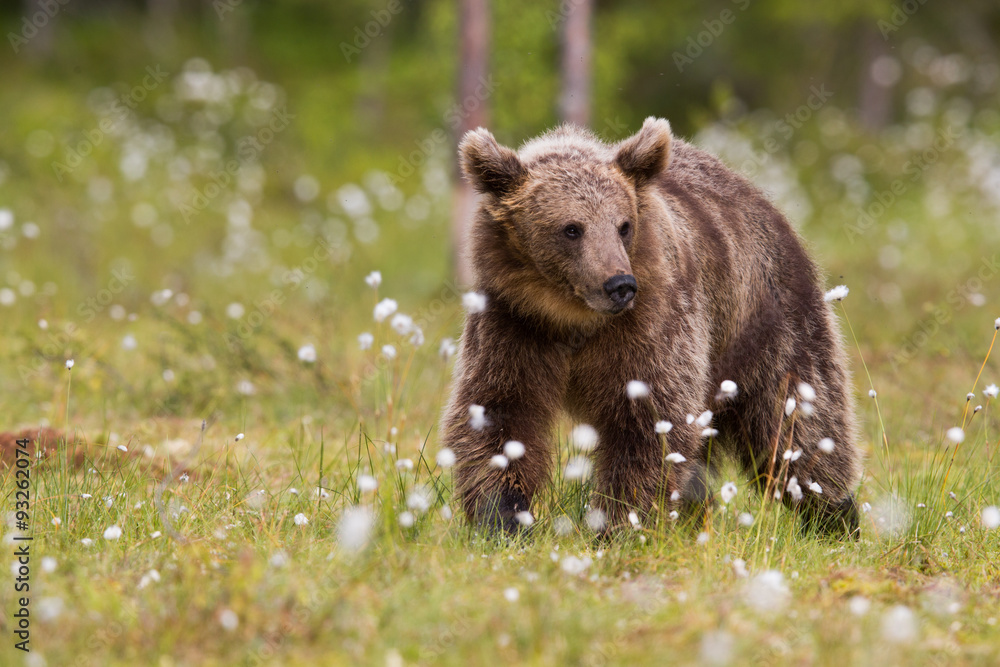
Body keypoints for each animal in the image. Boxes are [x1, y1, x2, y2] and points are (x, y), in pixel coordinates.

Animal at [440, 117, 862, 538]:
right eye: (572, 228)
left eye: (623, 226)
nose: (619, 284)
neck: (573, 317)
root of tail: (765, 203)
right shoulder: (513, 323)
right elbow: (499, 412)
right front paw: (503, 518)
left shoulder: (651, 323)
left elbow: (650, 422)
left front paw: (620, 522)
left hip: (769, 324)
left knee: (798, 423)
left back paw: (835, 515)